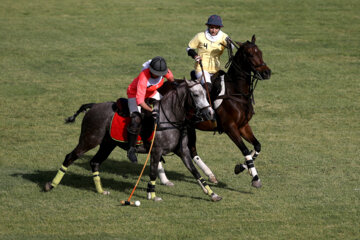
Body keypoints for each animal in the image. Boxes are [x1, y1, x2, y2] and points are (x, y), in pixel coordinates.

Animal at [43, 79, 221, 202]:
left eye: (206, 94)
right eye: (196, 95)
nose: (210, 113)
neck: (170, 117)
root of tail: (93, 106)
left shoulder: (182, 151)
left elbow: (196, 172)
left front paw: (212, 194)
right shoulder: (156, 151)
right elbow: (153, 172)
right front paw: (152, 195)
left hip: (107, 144)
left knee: (94, 162)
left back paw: (101, 191)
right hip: (89, 139)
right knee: (70, 157)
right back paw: (50, 185)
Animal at [187, 34, 272, 188]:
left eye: (261, 52)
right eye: (250, 54)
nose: (266, 72)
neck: (237, 92)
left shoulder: (243, 125)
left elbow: (257, 146)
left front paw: (241, 168)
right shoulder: (230, 127)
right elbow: (245, 150)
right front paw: (255, 178)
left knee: (192, 150)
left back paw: (211, 176)